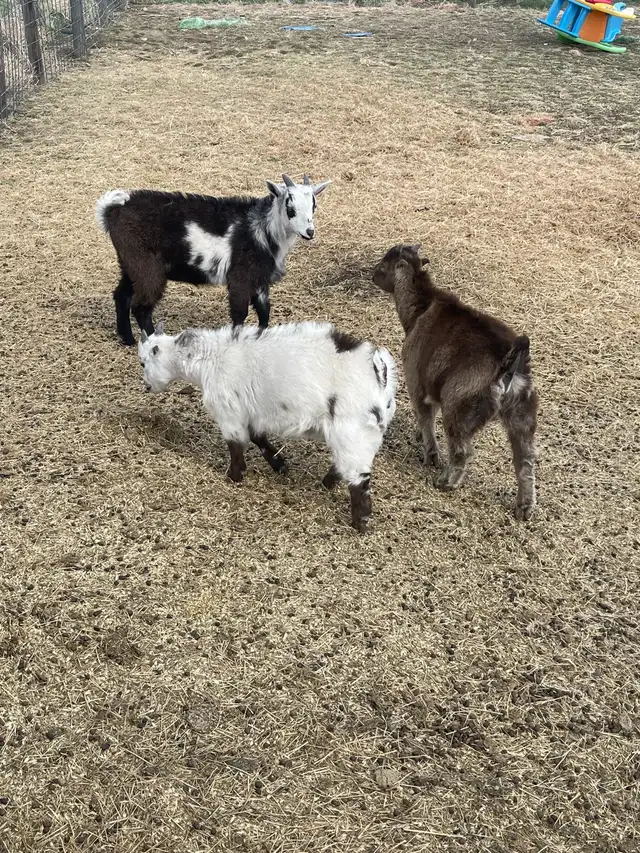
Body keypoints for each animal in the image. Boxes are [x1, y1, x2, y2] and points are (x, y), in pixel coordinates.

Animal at [96, 174, 331, 346]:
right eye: (290, 208)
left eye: (314, 206)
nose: (309, 232)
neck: (262, 229)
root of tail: (113, 211)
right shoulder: (239, 279)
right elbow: (240, 314)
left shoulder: (260, 280)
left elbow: (264, 313)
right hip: (147, 268)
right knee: (141, 307)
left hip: (130, 265)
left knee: (121, 296)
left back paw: (127, 339)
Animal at [138, 320, 397, 532]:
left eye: (143, 362)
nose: (147, 387)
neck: (210, 358)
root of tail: (379, 372)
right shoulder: (251, 414)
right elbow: (257, 438)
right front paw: (280, 465)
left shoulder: (229, 413)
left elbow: (235, 445)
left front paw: (234, 476)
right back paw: (326, 485)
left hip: (352, 433)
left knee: (359, 479)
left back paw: (359, 523)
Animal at [373, 244, 538, 520]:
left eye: (383, 265)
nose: (373, 275)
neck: (422, 307)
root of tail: (508, 365)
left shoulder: (417, 381)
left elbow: (426, 417)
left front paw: (431, 455)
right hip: (522, 415)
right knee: (525, 461)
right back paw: (524, 507)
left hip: (459, 405)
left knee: (462, 450)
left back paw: (447, 481)